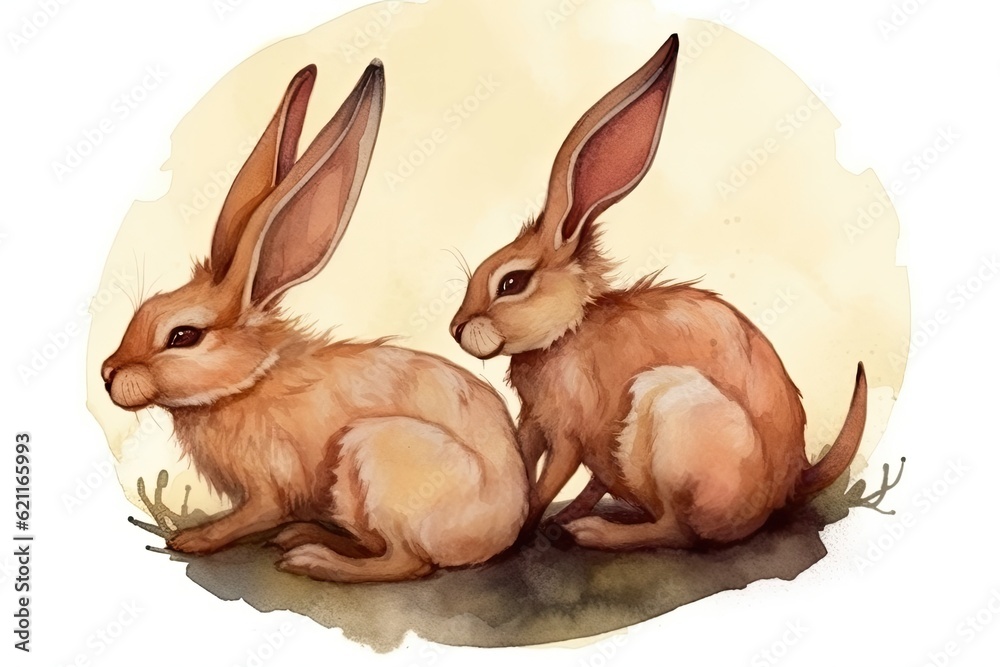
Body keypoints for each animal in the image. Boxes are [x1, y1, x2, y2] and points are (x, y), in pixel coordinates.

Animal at [101, 60, 529, 582]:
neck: (249, 382)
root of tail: (502, 532)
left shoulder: (269, 484)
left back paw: (314, 558)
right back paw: (308, 537)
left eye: (183, 335)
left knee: (406, 563)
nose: (108, 375)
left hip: (373, 453)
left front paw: (193, 539)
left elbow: (253, 514)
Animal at [449, 35, 867, 551]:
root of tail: (789, 483)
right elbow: (527, 468)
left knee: (679, 531)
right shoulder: (533, 423)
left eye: (511, 283)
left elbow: (546, 482)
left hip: (673, 417)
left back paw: (589, 533)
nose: (456, 329)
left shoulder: (568, 435)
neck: (565, 332)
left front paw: (524, 531)